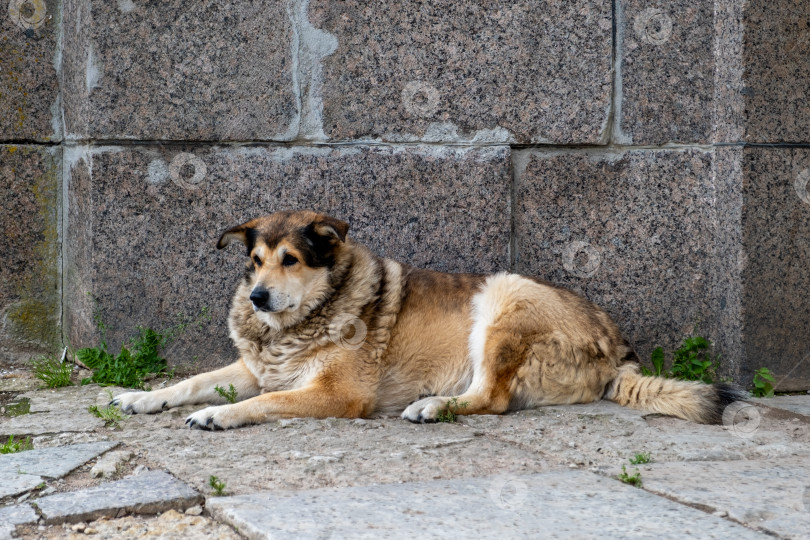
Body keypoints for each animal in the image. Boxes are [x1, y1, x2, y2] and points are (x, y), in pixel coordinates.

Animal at [113, 209, 744, 428]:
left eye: (291, 259)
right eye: (254, 261)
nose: (259, 298)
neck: (308, 316)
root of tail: (617, 349)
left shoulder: (337, 393)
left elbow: (263, 403)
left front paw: (218, 416)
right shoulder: (255, 368)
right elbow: (193, 381)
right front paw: (143, 398)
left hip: (502, 301)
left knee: (492, 398)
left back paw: (434, 406)